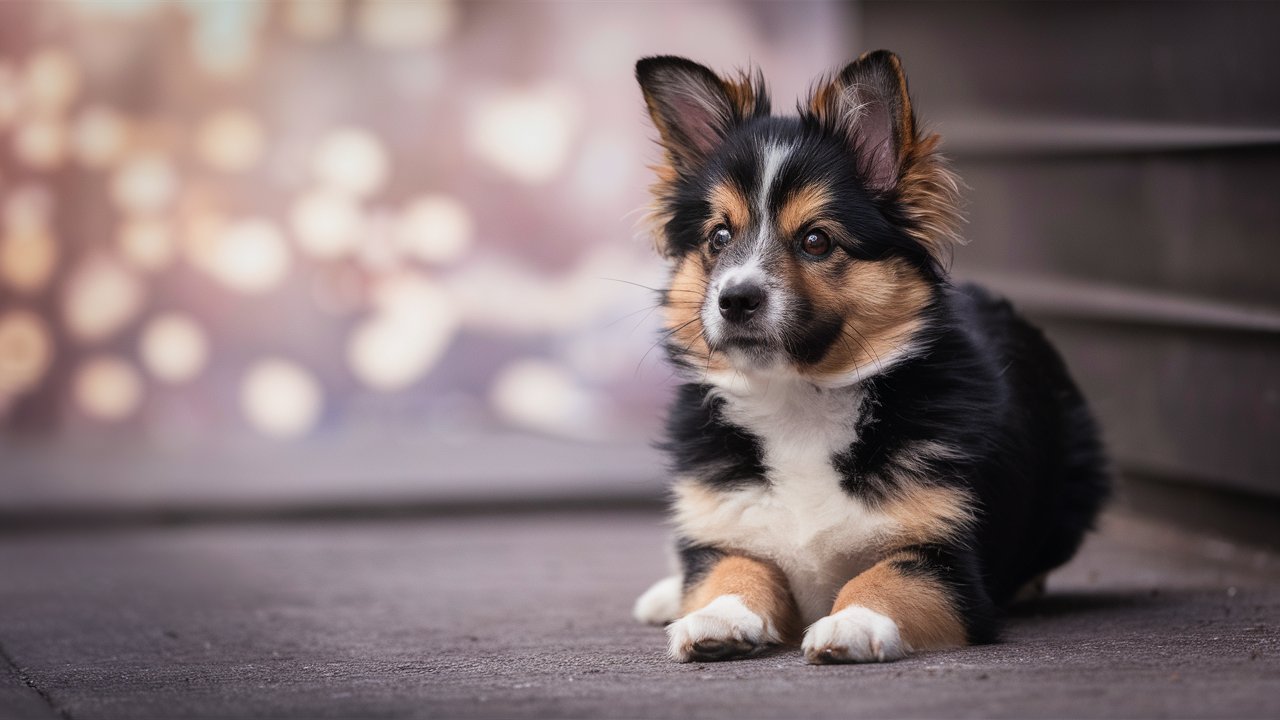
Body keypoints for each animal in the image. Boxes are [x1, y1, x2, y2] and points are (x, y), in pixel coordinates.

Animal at [629, 49, 1111, 661]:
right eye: (718, 237)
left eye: (816, 240)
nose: (734, 299)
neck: (798, 400)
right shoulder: (727, 532)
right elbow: (731, 568)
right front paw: (717, 615)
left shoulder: (945, 561)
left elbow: (886, 577)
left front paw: (853, 622)